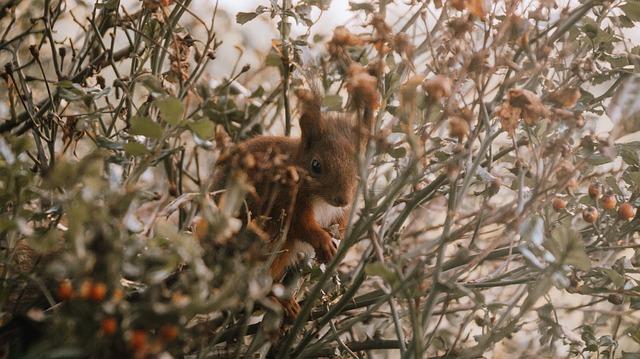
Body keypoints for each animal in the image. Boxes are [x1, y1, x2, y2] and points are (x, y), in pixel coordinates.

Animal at [212, 71, 378, 320]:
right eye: (316, 165)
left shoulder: (341, 212)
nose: (342, 199)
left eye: (362, 166)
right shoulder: (283, 198)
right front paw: (323, 241)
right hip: (268, 242)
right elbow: (300, 225)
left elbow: (339, 224)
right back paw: (274, 298)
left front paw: (338, 243)